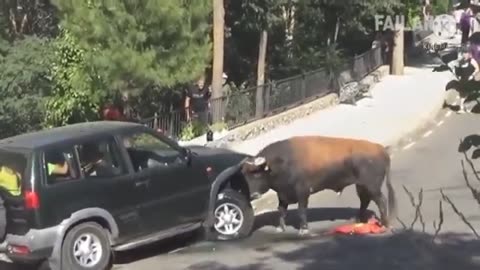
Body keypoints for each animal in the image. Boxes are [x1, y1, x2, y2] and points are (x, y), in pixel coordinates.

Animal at [240, 136, 398, 235]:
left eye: (256, 174)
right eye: (245, 176)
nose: (252, 194)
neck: (281, 162)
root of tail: (380, 149)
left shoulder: (302, 192)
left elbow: (301, 210)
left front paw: (303, 229)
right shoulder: (283, 195)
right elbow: (282, 211)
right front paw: (280, 228)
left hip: (372, 187)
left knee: (381, 201)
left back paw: (385, 223)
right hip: (361, 186)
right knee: (365, 200)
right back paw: (359, 219)